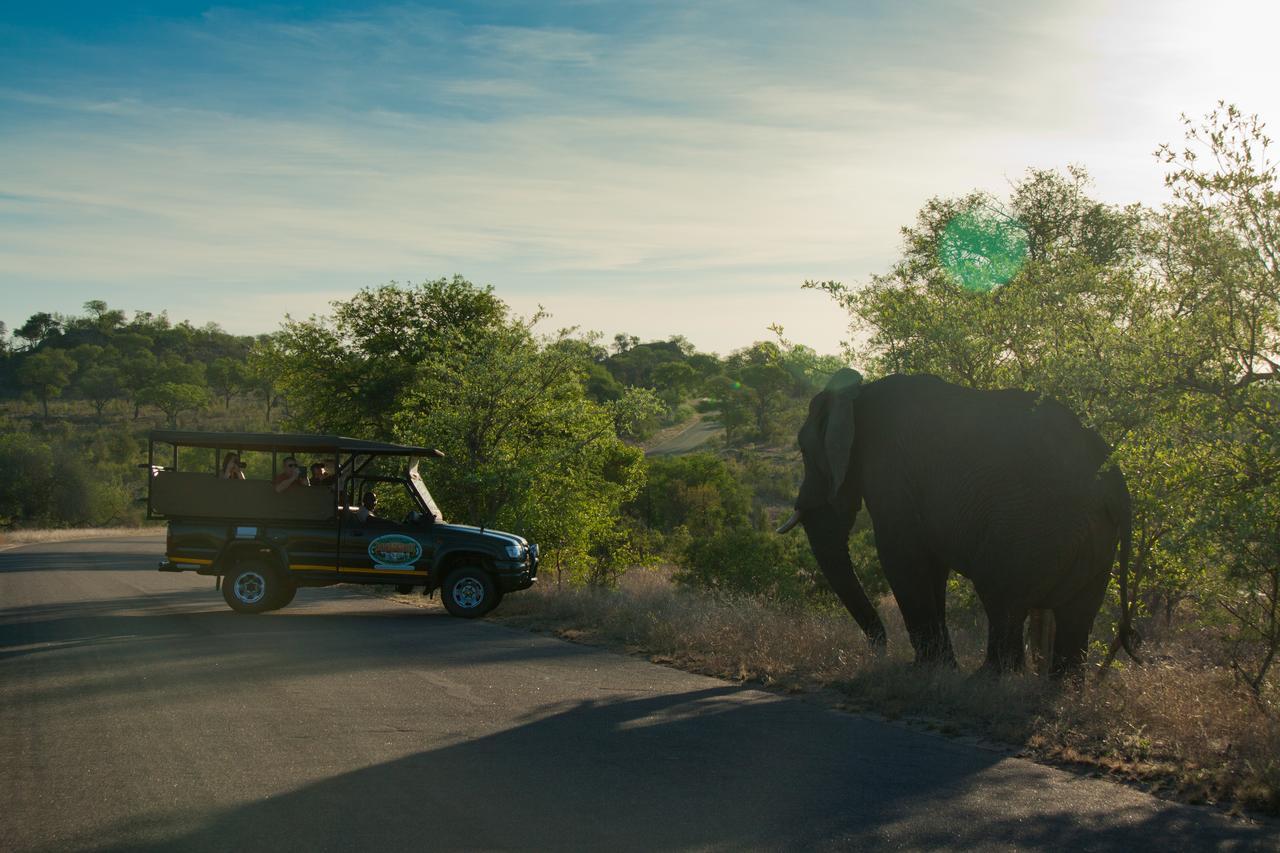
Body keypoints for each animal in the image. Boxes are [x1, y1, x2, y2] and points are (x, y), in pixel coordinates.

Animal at [778, 368, 1131, 676]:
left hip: (1032, 526)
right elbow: (932, 566)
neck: (857, 396)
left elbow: (900, 556)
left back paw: (988, 680)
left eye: (804, 450)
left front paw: (920, 672)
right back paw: (1057, 691)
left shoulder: (889, 467)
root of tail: (1116, 479)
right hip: (1095, 537)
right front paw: (940, 669)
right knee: (1077, 614)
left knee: (1000, 595)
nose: (875, 650)